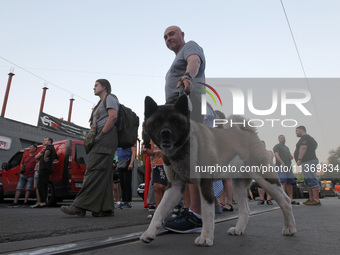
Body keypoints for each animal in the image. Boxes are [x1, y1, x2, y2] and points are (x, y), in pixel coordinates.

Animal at [139, 94, 296, 246]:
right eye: (157, 122)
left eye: (175, 121)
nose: (165, 132)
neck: (183, 147)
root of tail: (250, 133)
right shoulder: (175, 187)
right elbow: (160, 210)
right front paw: (149, 233)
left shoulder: (205, 184)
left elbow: (207, 213)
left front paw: (206, 238)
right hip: (238, 186)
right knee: (245, 210)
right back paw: (238, 229)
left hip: (265, 179)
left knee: (285, 200)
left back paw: (290, 228)